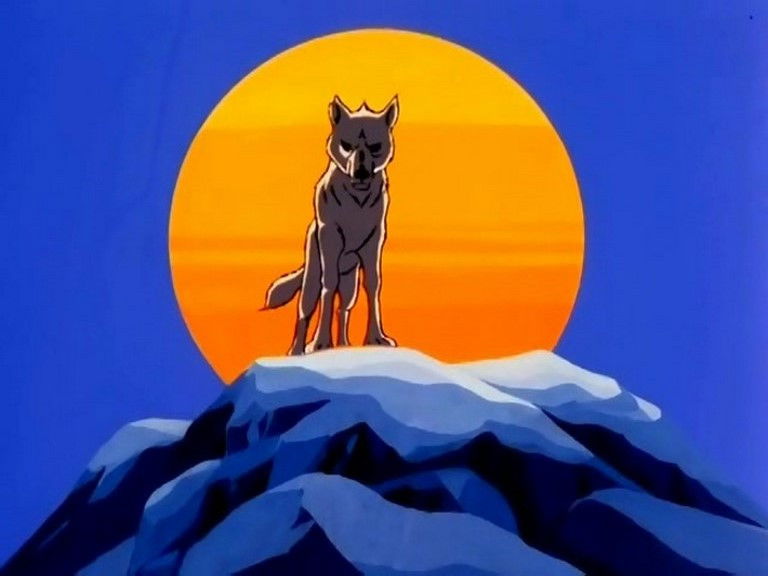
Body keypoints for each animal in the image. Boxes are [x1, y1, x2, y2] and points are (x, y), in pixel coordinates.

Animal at [263, 95, 399, 355]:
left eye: (375, 146)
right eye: (346, 145)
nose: (360, 172)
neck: (357, 202)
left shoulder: (375, 241)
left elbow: (373, 284)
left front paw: (376, 338)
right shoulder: (330, 238)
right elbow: (328, 286)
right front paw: (320, 343)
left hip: (350, 283)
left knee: (343, 308)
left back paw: (344, 345)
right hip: (312, 276)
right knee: (305, 311)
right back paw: (297, 351)